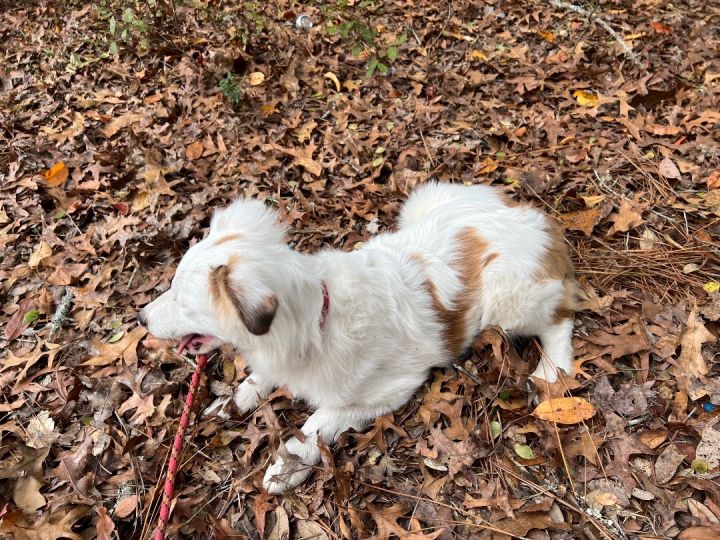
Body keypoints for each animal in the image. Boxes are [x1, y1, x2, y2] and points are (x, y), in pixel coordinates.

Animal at [139, 181, 580, 494]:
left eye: (181, 301)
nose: (140, 318)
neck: (317, 324)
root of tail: (533, 218)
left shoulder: (388, 390)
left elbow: (318, 422)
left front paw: (286, 465)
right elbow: (257, 381)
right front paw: (230, 403)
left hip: (508, 303)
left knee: (560, 320)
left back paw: (552, 370)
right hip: (425, 201)